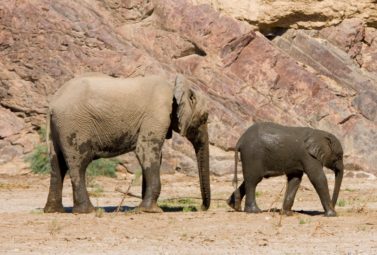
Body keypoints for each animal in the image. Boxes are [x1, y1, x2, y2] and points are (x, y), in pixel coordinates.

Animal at [43, 73, 212, 213]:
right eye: (204, 117)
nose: (201, 207)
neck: (175, 87)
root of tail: (53, 104)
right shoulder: (158, 114)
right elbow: (146, 151)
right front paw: (151, 211)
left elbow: (152, 156)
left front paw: (144, 208)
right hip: (74, 125)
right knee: (79, 163)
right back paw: (88, 211)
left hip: (58, 127)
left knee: (57, 164)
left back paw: (54, 211)